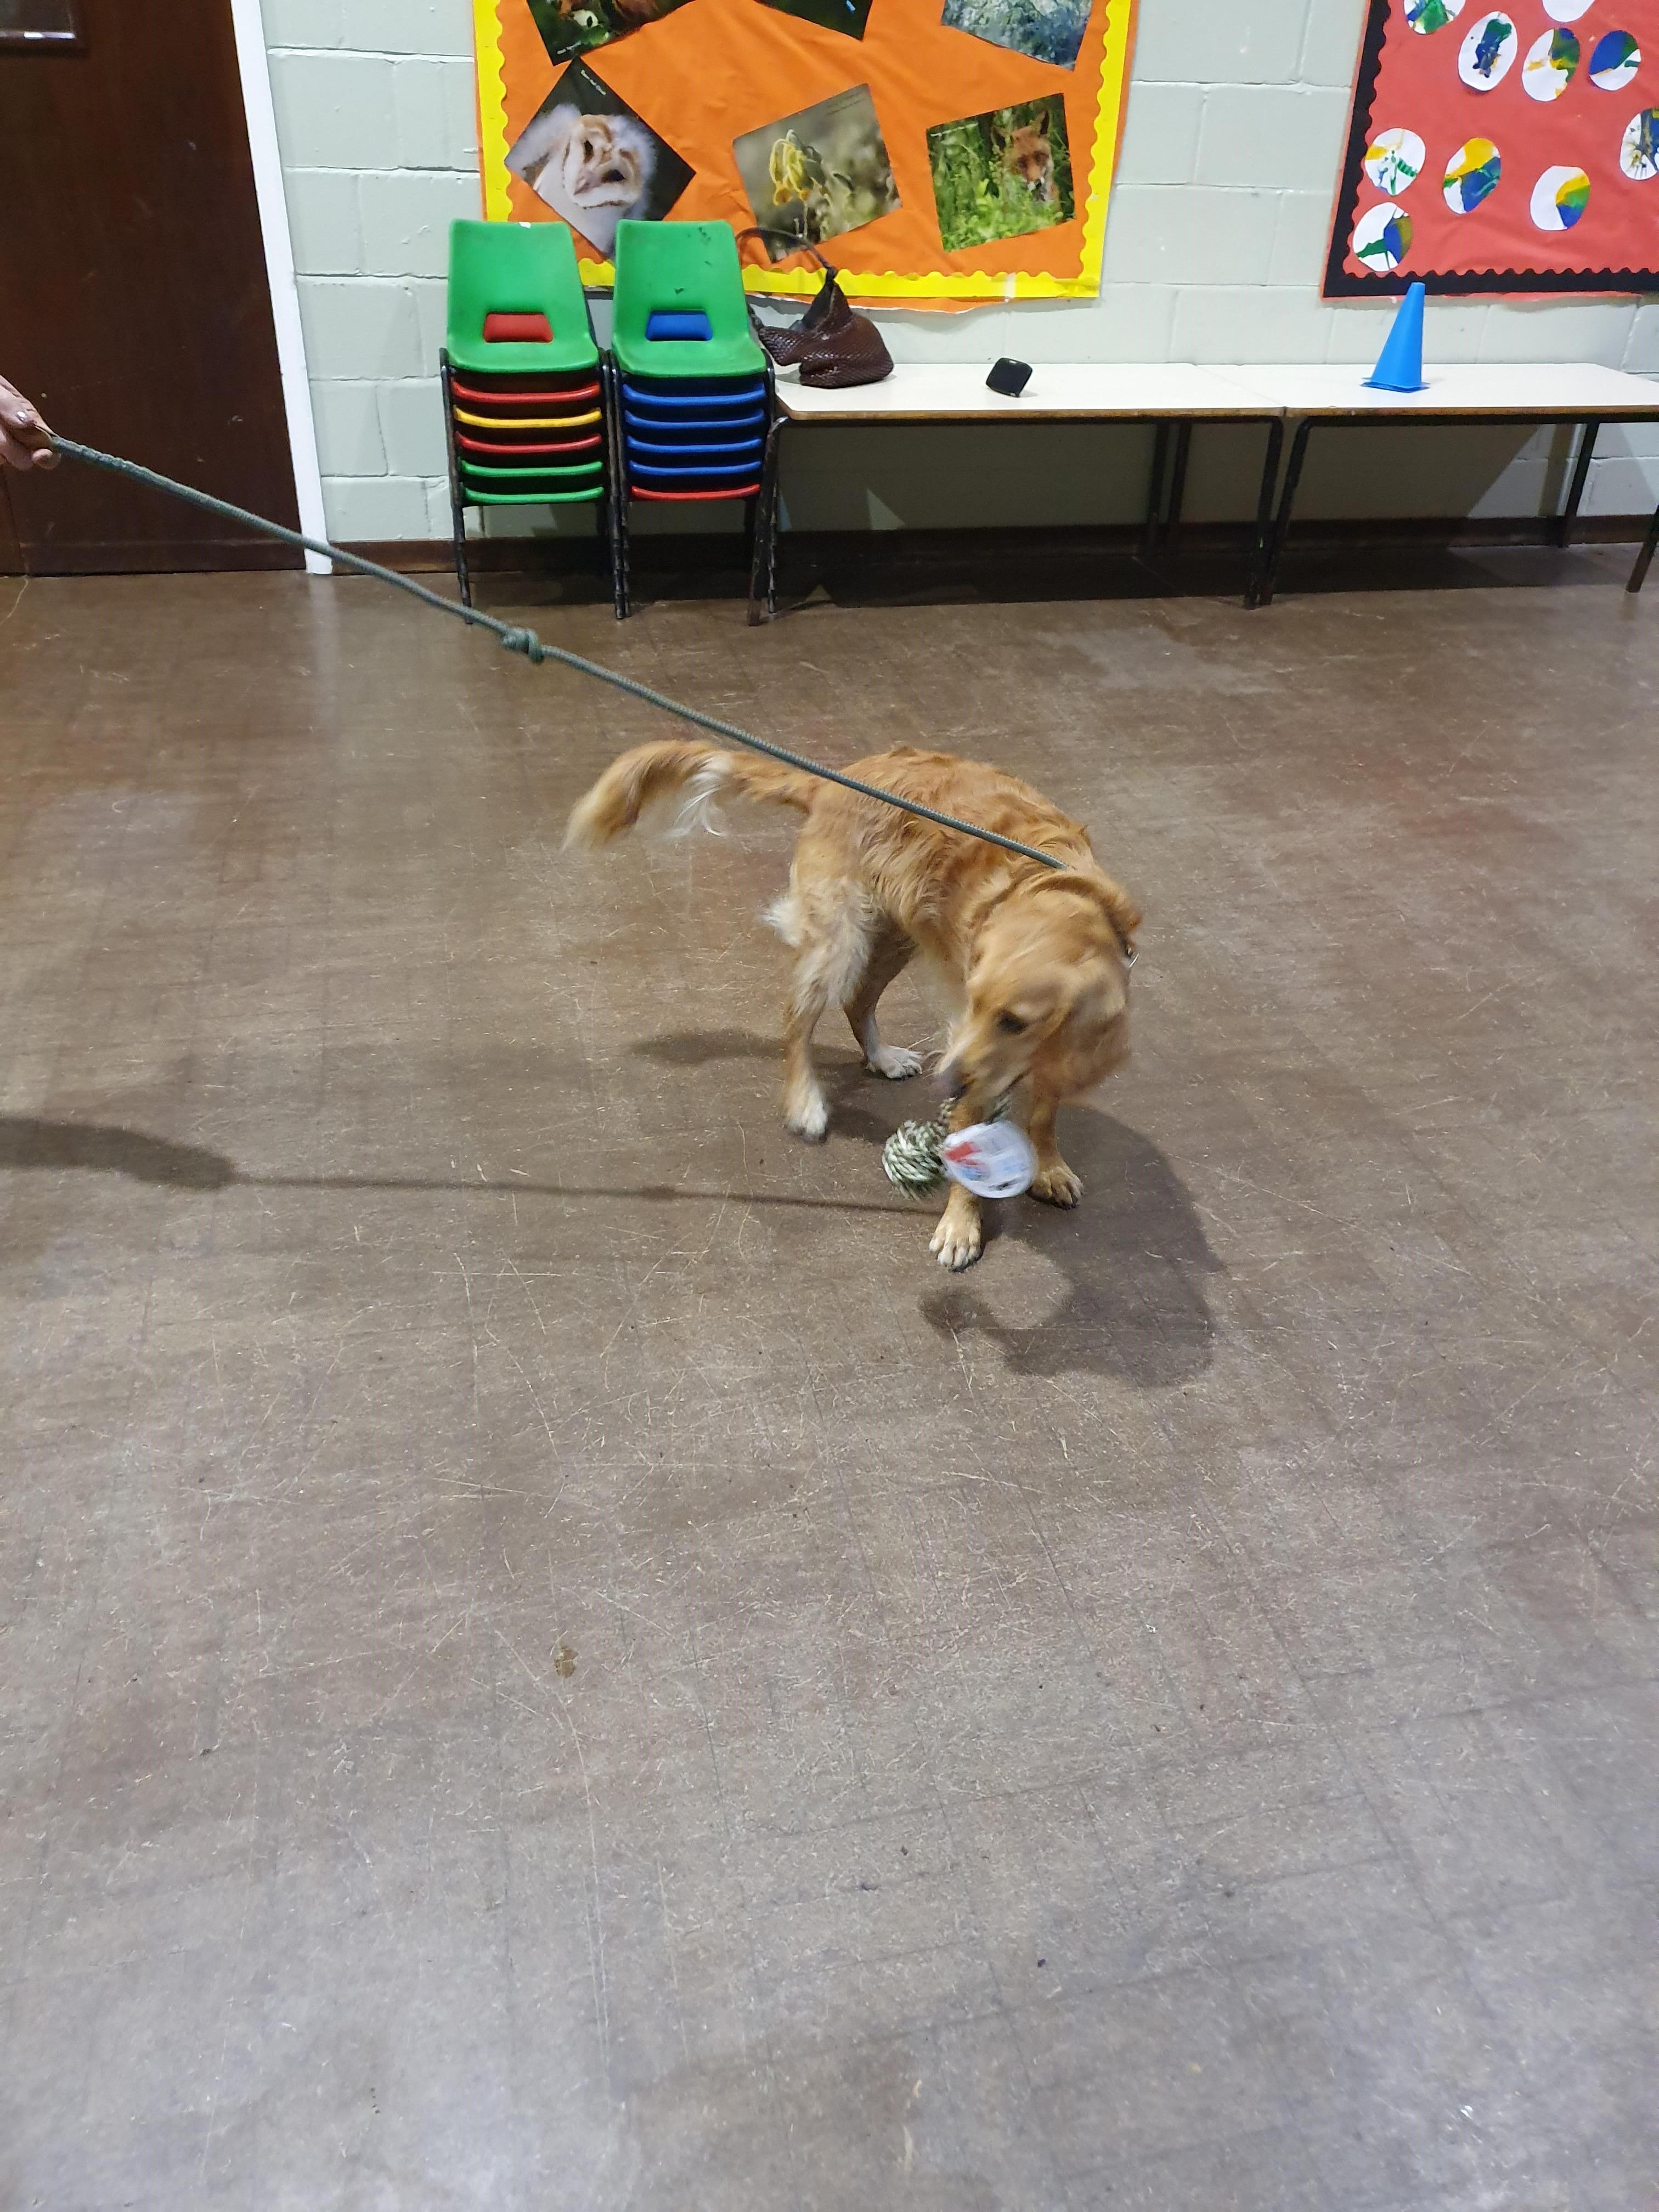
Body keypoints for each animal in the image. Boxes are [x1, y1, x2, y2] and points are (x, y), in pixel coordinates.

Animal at [566, 742, 1141, 1271]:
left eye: (1015, 1021)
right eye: (973, 1000)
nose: (946, 1084)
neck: (1061, 895)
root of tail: (836, 781)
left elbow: (1044, 1109)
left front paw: (1048, 1166)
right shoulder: (969, 1044)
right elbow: (970, 1133)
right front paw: (961, 1226)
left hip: (895, 932)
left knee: (857, 1000)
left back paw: (881, 1057)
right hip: (840, 936)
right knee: (799, 1017)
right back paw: (805, 1101)